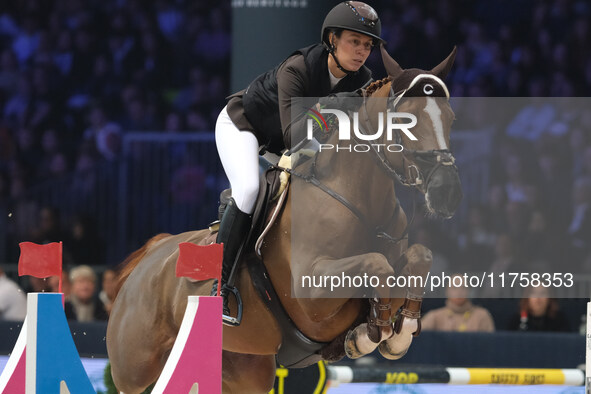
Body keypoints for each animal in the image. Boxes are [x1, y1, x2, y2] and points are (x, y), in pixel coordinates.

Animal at [106, 47, 462, 394]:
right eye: (404, 120)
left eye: (451, 117)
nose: (446, 191)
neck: (359, 199)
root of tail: (154, 253)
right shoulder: (311, 291)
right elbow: (376, 263)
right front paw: (368, 335)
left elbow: (418, 257)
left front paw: (396, 332)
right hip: (134, 368)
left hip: (244, 369)